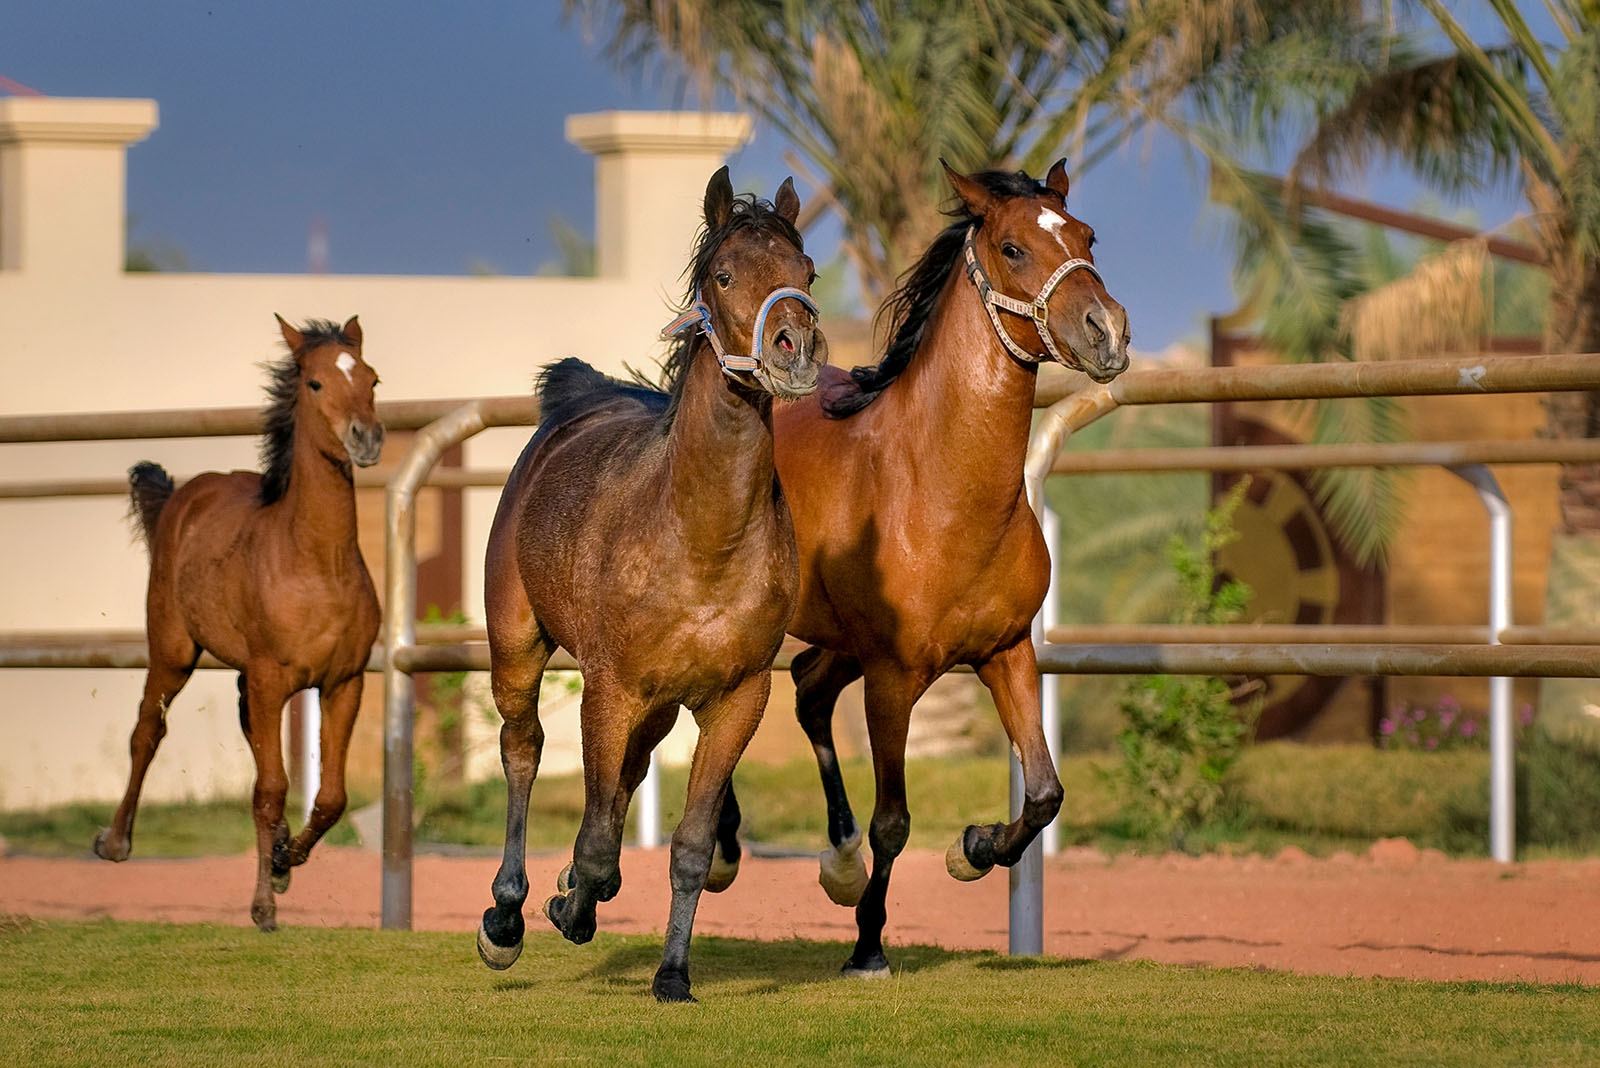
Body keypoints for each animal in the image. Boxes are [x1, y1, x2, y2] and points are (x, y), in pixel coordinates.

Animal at [96, 313, 380, 927]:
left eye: (372, 378)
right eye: (315, 383)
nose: (366, 439)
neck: (317, 562)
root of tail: (183, 494)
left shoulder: (343, 682)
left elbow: (330, 797)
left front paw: (283, 859)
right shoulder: (273, 677)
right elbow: (270, 788)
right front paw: (263, 905)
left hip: (246, 676)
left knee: (248, 733)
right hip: (173, 652)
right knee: (147, 730)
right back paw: (115, 842)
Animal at [473, 167, 825, 1004]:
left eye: (807, 273)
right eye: (723, 274)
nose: (795, 349)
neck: (700, 539)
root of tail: (575, 399)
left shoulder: (736, 697)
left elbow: (690, 845)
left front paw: (671, 973)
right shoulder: (610, 688)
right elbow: (600, 841)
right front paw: (566, 903)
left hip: (661, 707)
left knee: (624, 776)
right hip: (518, 646)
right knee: (523, 749)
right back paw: (507, 913)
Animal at [732, 158, 1132, 978]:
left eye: (1086, 237)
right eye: (1013, 248)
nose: (1107, 331)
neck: (941, 490)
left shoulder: (1007, 652)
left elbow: (1044, 792)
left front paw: (974, 848)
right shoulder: (892, 678)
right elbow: (894, 820)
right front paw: (868, 948)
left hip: (841, 642)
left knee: (808, 689)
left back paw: (838, 862)